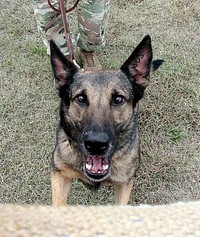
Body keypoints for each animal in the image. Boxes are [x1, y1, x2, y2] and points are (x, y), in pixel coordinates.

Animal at [50, 35, 162, 206]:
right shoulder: (59, 172)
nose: (96, 144)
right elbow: (59, 202)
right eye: (81, 98)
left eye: (118, 99)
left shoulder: (125, 183)